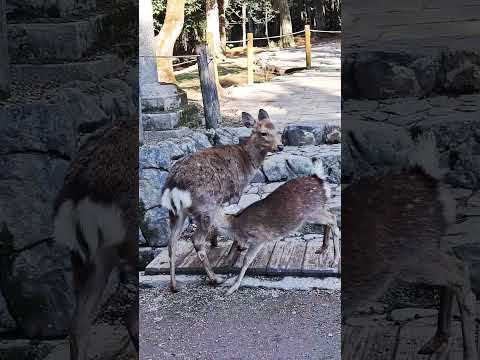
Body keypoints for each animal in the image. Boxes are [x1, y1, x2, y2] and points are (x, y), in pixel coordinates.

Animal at [160, 108, 284, 292]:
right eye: (263, 133)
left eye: (278, 131)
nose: (281, 146)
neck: (248, 164)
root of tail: (174, 184)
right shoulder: (233, 196)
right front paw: (238, 247)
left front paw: (216, 242)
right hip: (205, 206)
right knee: (196, 240)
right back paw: (215, 278)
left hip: (175, 211)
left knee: (171, 242)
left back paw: (174, 284)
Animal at [214, 160, 338, 296]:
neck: (235, 226)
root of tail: (319, 178)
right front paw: (226, 260)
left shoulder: (259, 238)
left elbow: (246, 259)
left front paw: (232, 288)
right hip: (317, 209)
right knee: (329, 219)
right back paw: (322, 248)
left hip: (312, 212)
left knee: (333, 218)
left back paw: (335, 260)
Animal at [344, 132, 478, 360]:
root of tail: (427, 175)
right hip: (425, 250)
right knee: (453, 261)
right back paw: (436, 340)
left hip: (413, 257)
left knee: (459, 270)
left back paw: (468, 352)